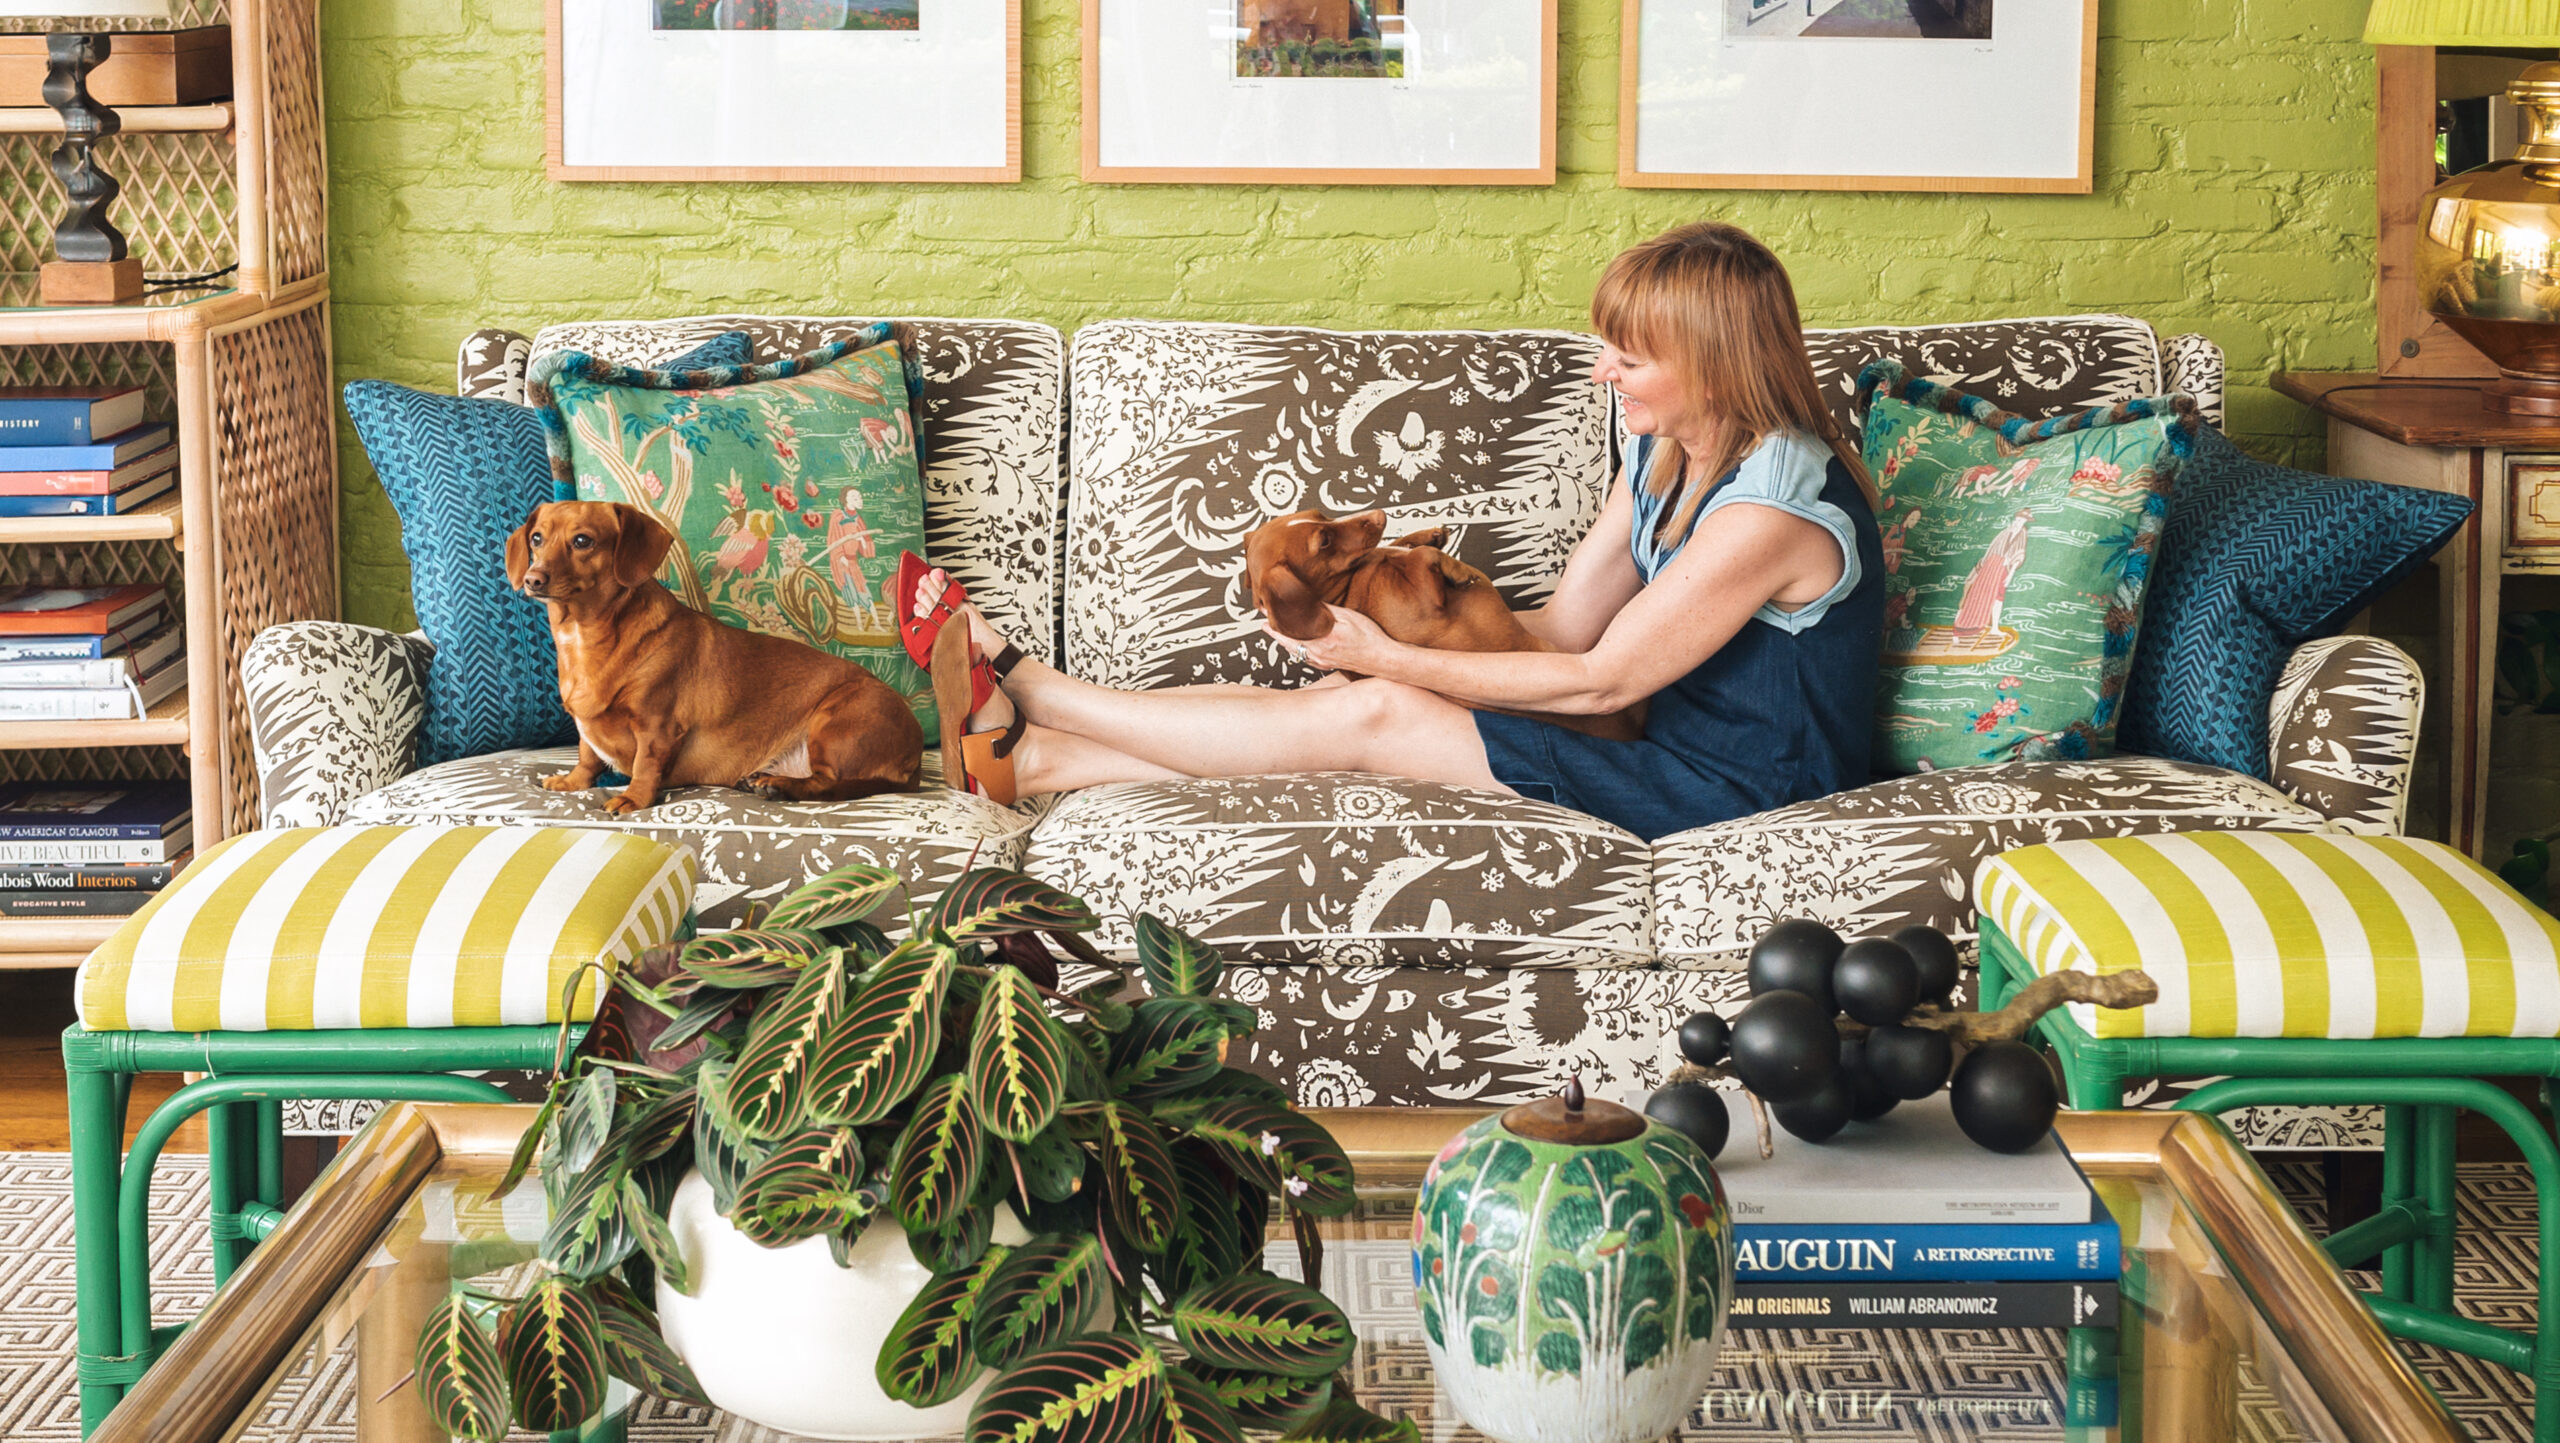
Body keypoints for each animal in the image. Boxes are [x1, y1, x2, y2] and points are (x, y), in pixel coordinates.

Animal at [507, 500, 923, 814]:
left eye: (583, 541)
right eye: (537, 538)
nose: (532, 579)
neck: (587, 635)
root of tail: (914, 760)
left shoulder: (656, 727)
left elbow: (644, 766)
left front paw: (632, 798)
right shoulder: (588, 731)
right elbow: (587, 756)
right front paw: (572, 781)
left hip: (833, 721)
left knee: (827, 783)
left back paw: (778, 785)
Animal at [1244, 509, 1646, 742]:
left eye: (1319, 514)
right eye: (1324, 540)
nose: (1378, 513)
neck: (1345, 591)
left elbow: (1406, 546)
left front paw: (1429, 535)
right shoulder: (1426, 608)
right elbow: (1424, 558)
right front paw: (1456, 568)